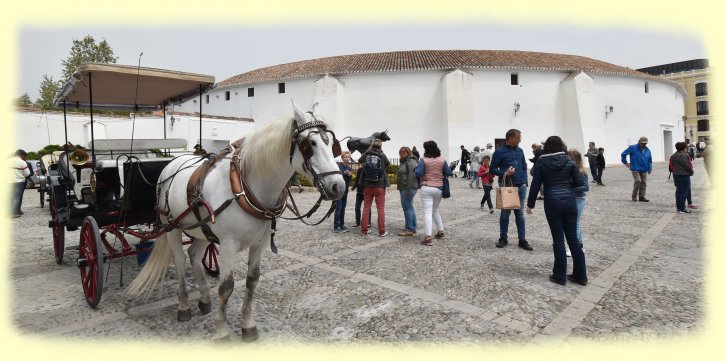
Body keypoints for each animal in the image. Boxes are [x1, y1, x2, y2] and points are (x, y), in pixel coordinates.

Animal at [126, 102, 346, 340]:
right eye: (310, 144)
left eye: (331, 143)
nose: (339, 186)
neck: (245, 187)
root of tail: (172, 163)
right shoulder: (228, 245)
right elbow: (226, 287)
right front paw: (222, 332)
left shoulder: (260, 244)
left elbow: (252, 281)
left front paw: (248, 325)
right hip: (172, 227)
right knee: (179, 260)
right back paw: (183, 306)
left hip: (201, 228)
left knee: (194, 254)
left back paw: (204, 299)